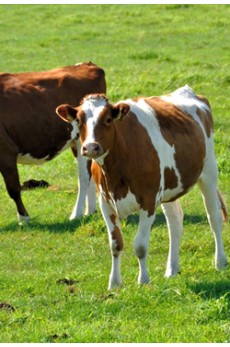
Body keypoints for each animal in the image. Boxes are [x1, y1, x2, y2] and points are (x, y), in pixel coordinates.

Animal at [0, 61, 106, 226]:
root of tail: (88, 64)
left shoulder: (6, 151)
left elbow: (13, 189)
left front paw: (24, 218)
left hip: (81, 141)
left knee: (84, 176)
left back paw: (76, 214)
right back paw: (90, 211)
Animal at [56, 85, 227, 290]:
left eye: (108, 119)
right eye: (79, 121)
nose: (90, 147)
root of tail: (188, 91)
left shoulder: (149, 200)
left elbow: (140, 245)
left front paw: (143, 280)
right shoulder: (105, 202)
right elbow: (115, 244)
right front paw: (114, 283)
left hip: (209, 172)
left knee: (214, 217)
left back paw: (220, 262)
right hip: (169, 187)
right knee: (175, 222)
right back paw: (172, 269)